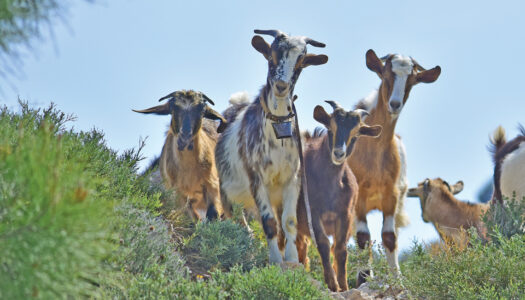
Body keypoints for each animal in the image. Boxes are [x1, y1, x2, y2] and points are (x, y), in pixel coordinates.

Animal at [132, 89, 226, 220]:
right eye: (173, 108)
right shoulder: (178, 193)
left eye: (202, 110)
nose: (185, 138)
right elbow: (192, 218)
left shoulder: (212, 184)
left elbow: (213, 214)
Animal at [214, 28, 328, 262]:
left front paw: (292, 260)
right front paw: (275, 260)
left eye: (300, 61)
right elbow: (269, 223)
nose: (281, 87)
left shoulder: (292, 179)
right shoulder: (257, 179)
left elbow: (289, 222)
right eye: (272, 56)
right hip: (226, 190)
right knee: (235, 219)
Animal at [294, 101, 380, 290]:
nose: (338, 153)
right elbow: (323, 244)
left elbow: (340, 249)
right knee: (300, 245)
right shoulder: (313, 213)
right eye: (330, 129)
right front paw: (332, 285)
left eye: (355, 135)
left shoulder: (344, 214)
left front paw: (343, 286)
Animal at [348, 49, 442, 286]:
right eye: (385, 75)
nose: (395, 104)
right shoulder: (358, 196)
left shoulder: (391, 193)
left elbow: (389, 236)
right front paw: (364, 278)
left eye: (412, 80)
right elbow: (363, 238)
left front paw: (398, 280)